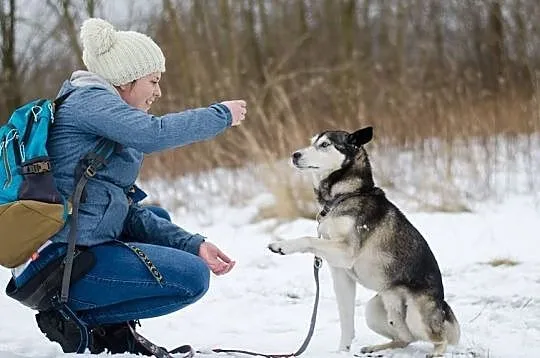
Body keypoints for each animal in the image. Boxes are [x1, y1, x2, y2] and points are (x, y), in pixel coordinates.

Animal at [268, 127, 458, 356]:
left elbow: (308, 238)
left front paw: (282, 245)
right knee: (405, 338)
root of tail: (442, 306)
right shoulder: (340, 272)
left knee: (439, 338)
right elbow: (346, 317)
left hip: (417, 315)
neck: (347, 194)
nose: (294, 155)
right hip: (375, 309)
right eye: (312, 141)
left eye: (325, 145)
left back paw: (436, 352)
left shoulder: (346, 251)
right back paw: (377, 347)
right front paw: (343, 350)